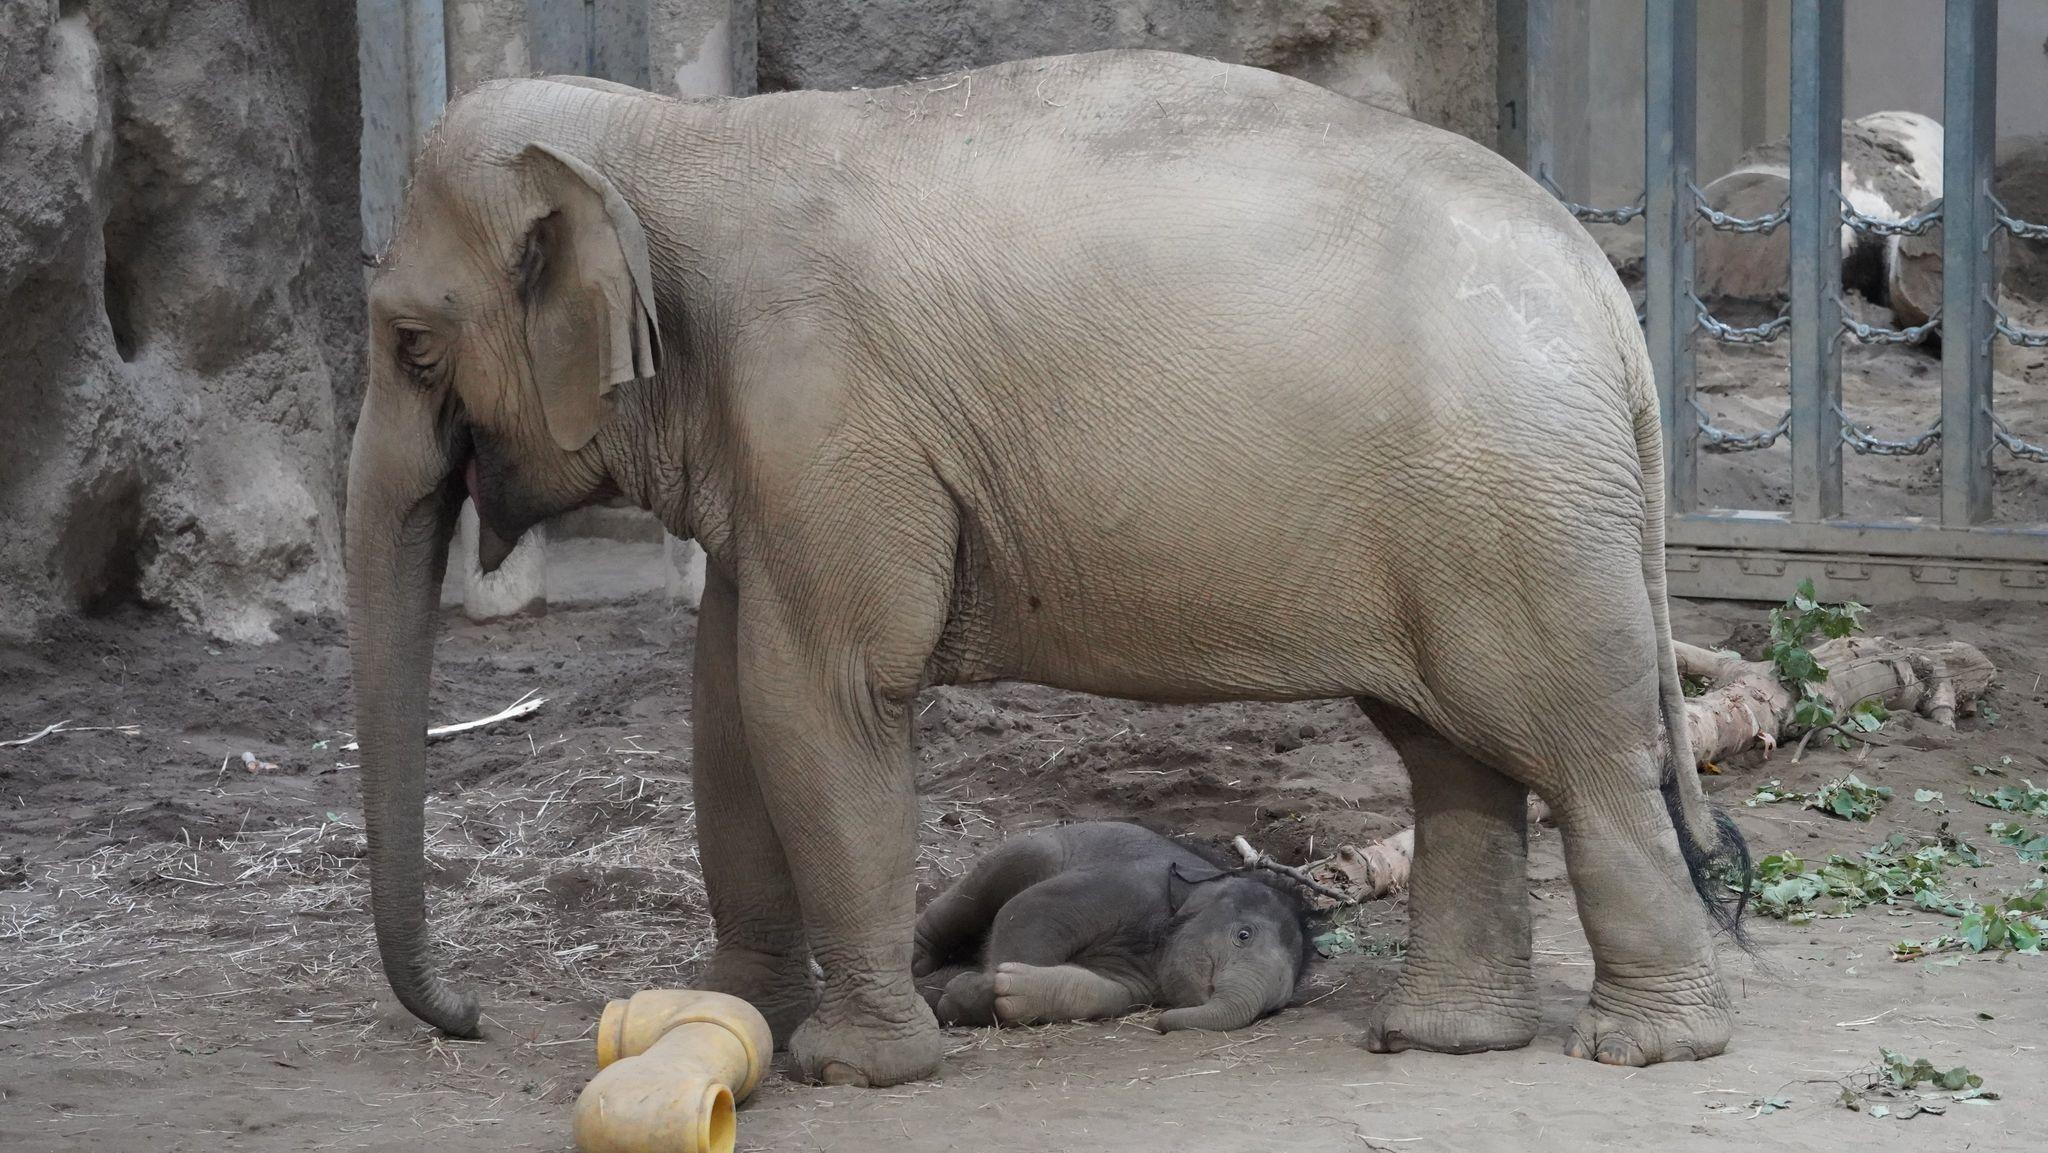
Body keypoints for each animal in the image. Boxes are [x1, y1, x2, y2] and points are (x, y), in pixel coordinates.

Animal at [913, 827, 1310, 1032]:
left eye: (1273, 1008)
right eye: (1244, 935)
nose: (1161, 1024)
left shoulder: (1143, 977)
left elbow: (1109, 992)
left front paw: (994, 990)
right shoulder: (1128, 886)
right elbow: (1030, 909)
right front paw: (976, 989)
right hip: (1027, 850)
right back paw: (917, 965)